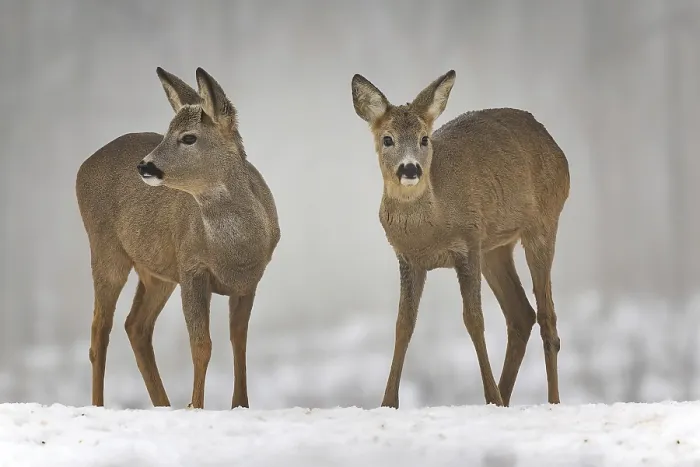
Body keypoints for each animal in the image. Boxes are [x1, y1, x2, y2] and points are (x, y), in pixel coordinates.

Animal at [76, 67, 280, 409]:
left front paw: (240, 404)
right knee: (99, 331)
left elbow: (239, 341)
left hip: (157, 272)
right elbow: (201, 344)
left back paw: (163, 404)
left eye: (188, 137)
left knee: (135, 326)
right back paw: (98, 405)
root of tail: (81, 167)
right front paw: (196, 405)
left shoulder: (249, 281)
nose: (144, 165)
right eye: (166, 132)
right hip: (105, 248)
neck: (235, 250)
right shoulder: (192, 267)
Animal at [351, 70, 570, 409]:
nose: (410, 168)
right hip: (495, 247)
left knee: (547, 317)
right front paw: (387, 403)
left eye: (424, 139)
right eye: (387, 139)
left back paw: (550, 401)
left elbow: (474, 319)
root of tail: (557, 148)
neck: (432, 226)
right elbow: (403, 325)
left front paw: (490, 397)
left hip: (544, 222)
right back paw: (506, 398)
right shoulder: (409, 259)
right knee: (521, 313)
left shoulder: (467, 243)